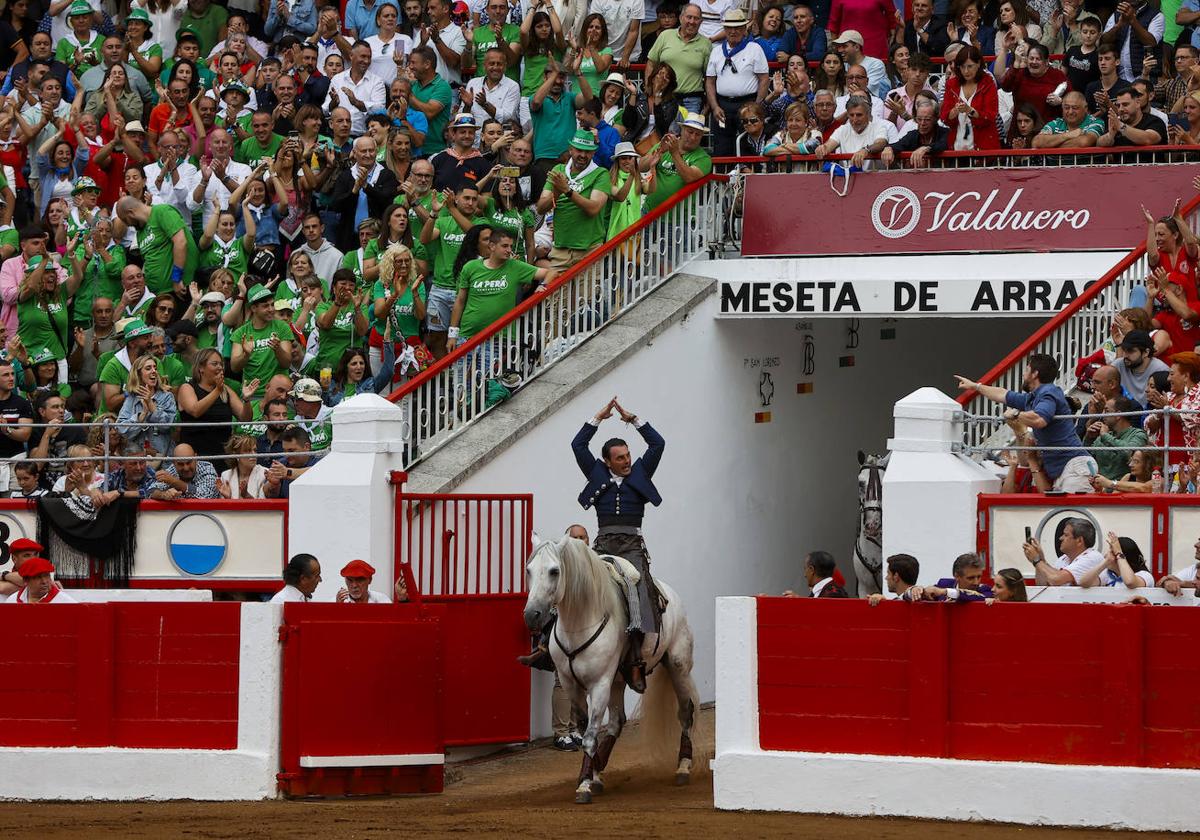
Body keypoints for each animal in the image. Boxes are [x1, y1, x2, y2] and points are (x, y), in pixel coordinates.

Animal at [523, 535, 700, 801]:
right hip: (618, 680)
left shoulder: (600, 684)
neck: (579, 622)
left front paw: (584, 785)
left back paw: (683, 767)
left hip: (677, 665)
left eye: (554, 571)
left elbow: (589, 735)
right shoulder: (570, 684)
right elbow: (585, 727)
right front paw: (591, 775)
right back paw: (599, 771)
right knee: (617, 721)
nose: (532, 615)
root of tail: (671, 595)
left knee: (686, 710)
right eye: (529, 570)